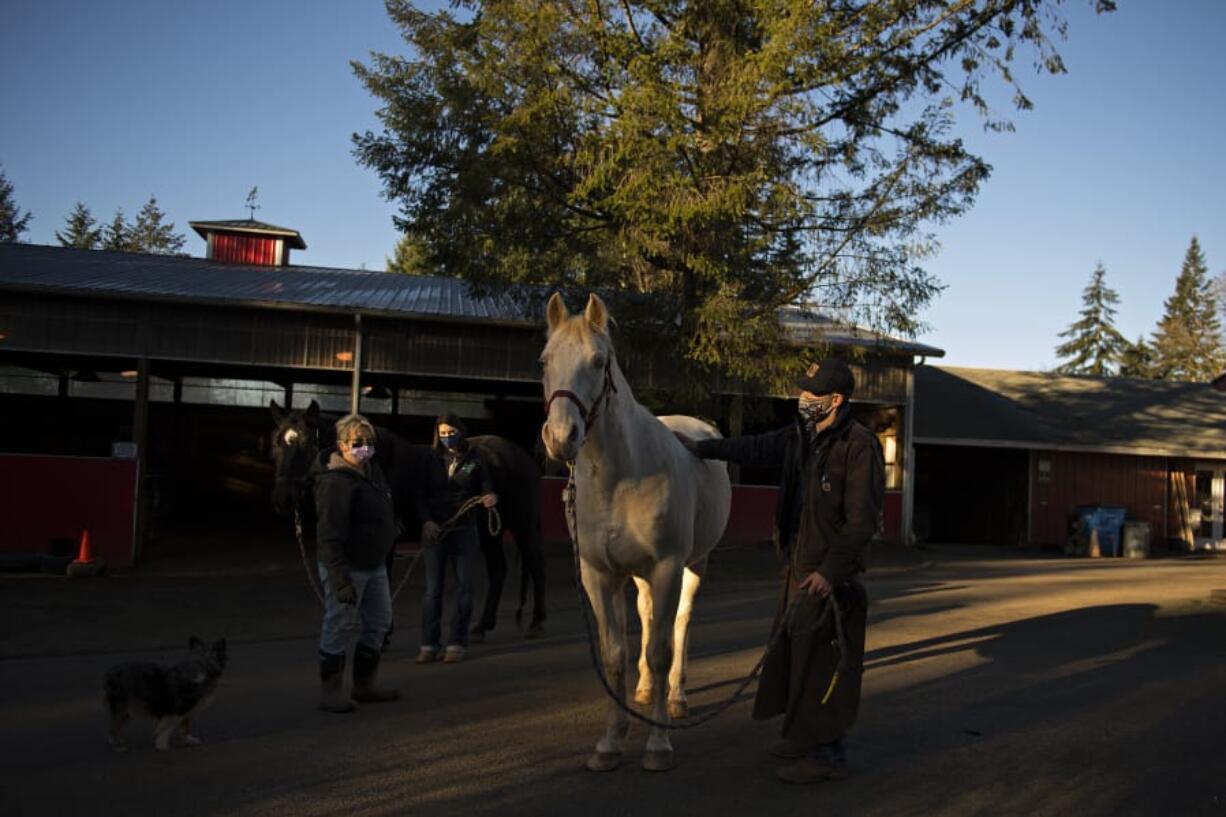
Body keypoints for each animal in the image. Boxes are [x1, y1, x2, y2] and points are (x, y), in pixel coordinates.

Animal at [278, 397, 551, 632]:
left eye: (305, 444)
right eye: (276, 443)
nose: (283, 498)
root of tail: (523, 457)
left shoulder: (387, 541)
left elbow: (385, 580)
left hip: (522, 524)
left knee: (536, 562)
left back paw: (537, 623)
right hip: (489, 531)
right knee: (499, 570)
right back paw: (483, 627)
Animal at [544, 293, 730, 770]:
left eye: (598, 361)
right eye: (544, 360)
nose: (561, 436)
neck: (621, 478)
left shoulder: (666, 568)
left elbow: (661, 650)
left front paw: (658, 745)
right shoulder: (600, 575)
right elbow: (616, 656)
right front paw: (610, 742)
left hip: (693, 566)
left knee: (680, 623)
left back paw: (676, 697)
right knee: (647, 618)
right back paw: (645, 690)